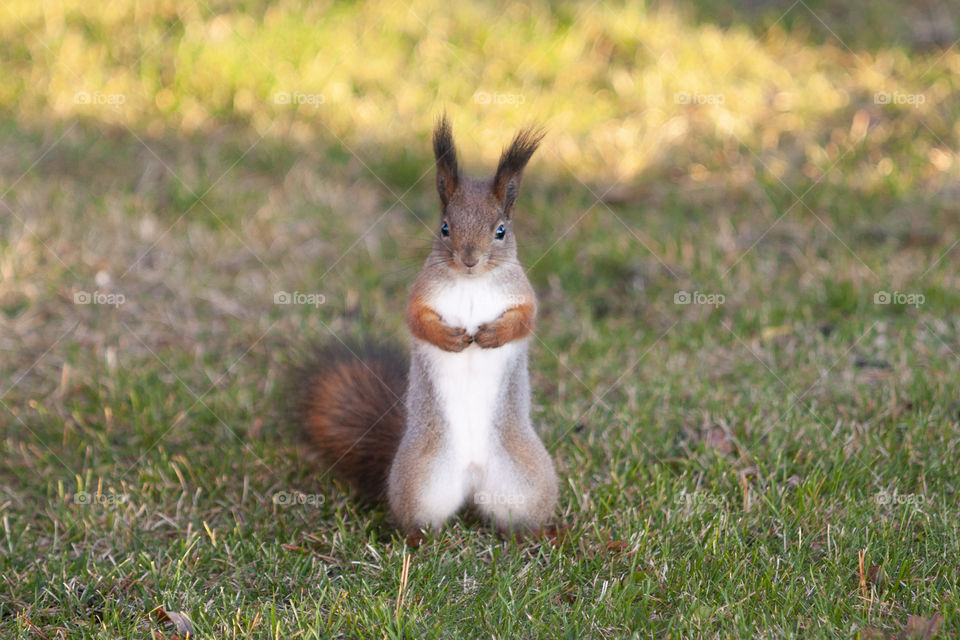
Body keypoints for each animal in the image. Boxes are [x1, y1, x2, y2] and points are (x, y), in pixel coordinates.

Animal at [293, 115, 558, 536]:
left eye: (501, 230)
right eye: (445, 228)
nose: (469, 259)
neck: (471, 283)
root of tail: (472, 477)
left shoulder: (522, 295)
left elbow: (524, 320)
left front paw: (491, 335)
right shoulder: (421, 294)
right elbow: (417, 321)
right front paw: (450, 339)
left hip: (528, 483)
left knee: (524, 517)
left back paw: (542, 533)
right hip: (419, 478)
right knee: (417, 521)